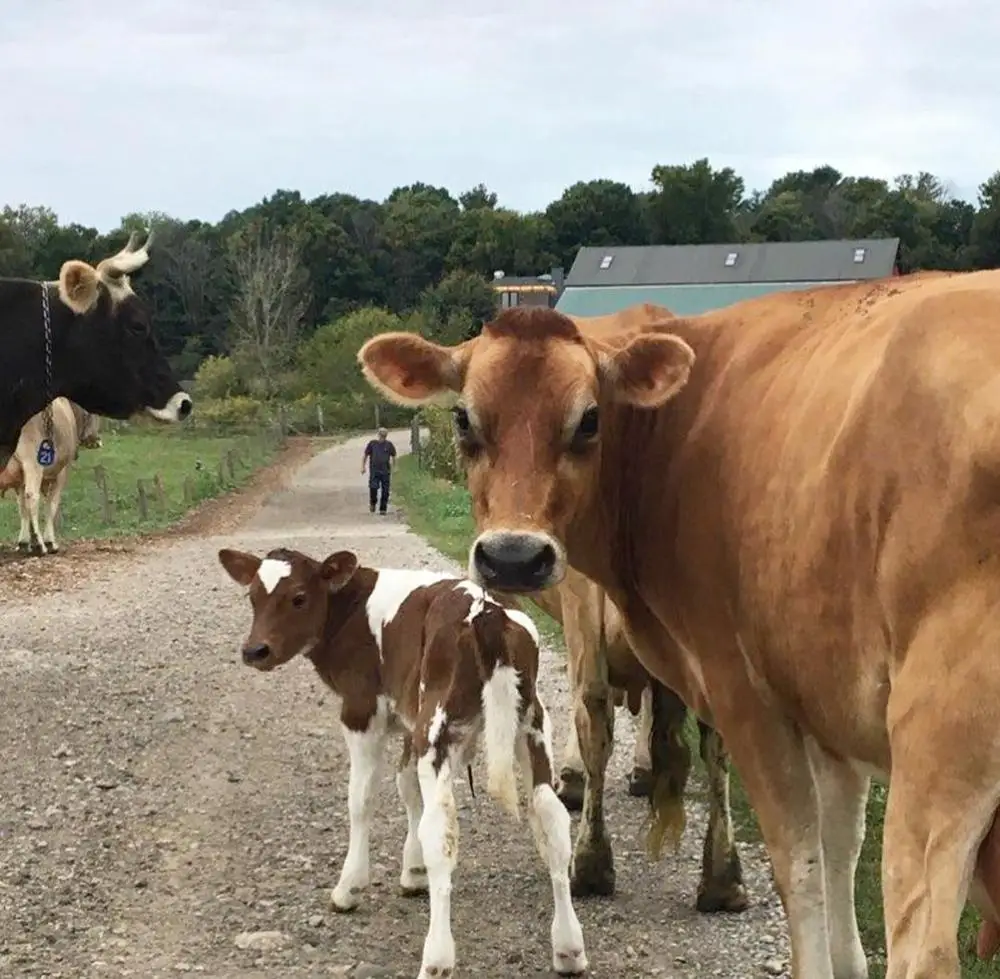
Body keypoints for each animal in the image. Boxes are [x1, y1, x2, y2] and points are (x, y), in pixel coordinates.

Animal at [219, 544, 588, 979]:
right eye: (252, 597)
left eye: (298, 597)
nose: (254, 651)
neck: (351, 609)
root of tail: (489, 614)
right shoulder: (412, 721)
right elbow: (408, 788)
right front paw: (413, 873)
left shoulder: (363, 711)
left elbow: (361, 801)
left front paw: (349, 887)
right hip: (528, 722)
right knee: (551, 820)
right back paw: (569, 948)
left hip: (439, 724)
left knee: (443, 830)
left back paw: (436, 959)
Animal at [362, 276, 1000, 979]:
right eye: (463, 419)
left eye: (590, 419)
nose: (513, 557)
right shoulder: (827, 703)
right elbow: (839, 851)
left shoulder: (742, 687)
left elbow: (800, 863)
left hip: (938, 737)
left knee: (925, 946)